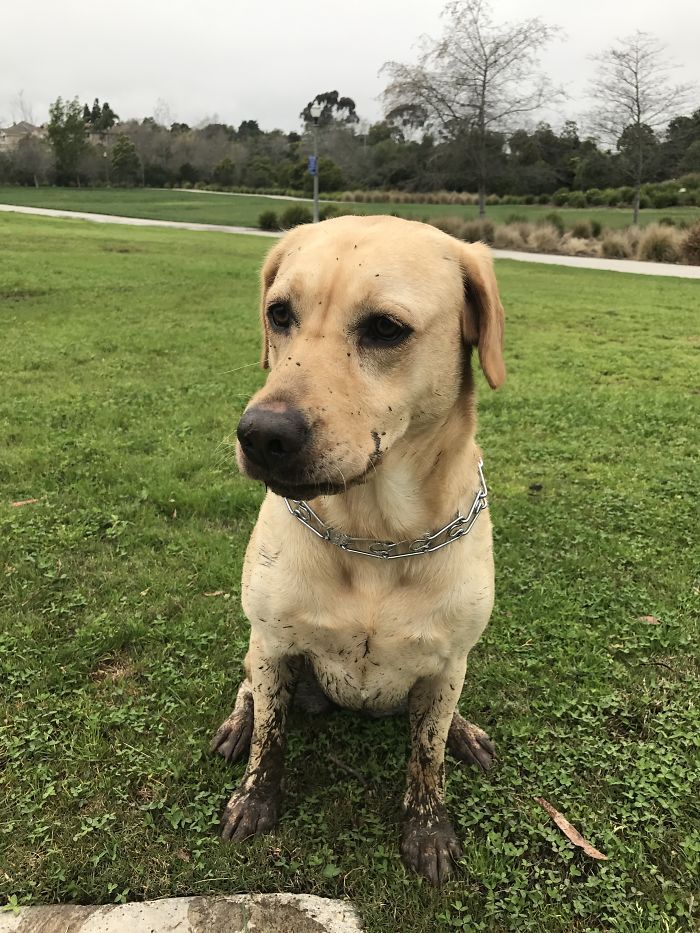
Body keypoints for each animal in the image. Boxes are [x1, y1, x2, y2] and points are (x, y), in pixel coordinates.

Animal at [211, 215, 506, 884]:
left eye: (385, 328)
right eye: (279, 313)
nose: (262, 435)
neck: (375, 536)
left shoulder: (445, 664)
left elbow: (426, 758)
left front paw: (428, 828)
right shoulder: (274, 644)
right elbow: (271, 737)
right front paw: (254, 799)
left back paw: (464, 731)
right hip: (261, 650)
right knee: (249, 691)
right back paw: (237, 723)